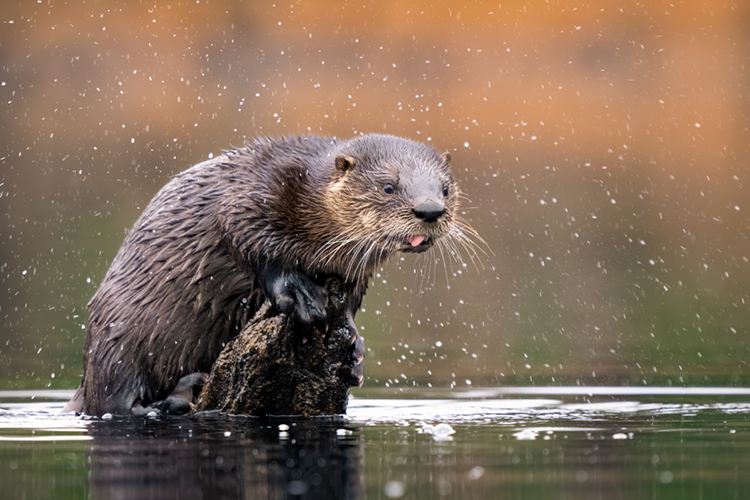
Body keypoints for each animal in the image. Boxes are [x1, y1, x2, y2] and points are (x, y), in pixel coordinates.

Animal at [63, 135, 476, 416]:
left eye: (445, 188)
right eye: (388, 186)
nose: (430, 210)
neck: (309, 200)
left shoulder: (353, 273)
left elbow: (350, 306)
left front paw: (354, 350)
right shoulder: (249, 200)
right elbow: (256, 246)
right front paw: (302, 297)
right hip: (116, 337)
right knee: (113, 400)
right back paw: (167, 402)